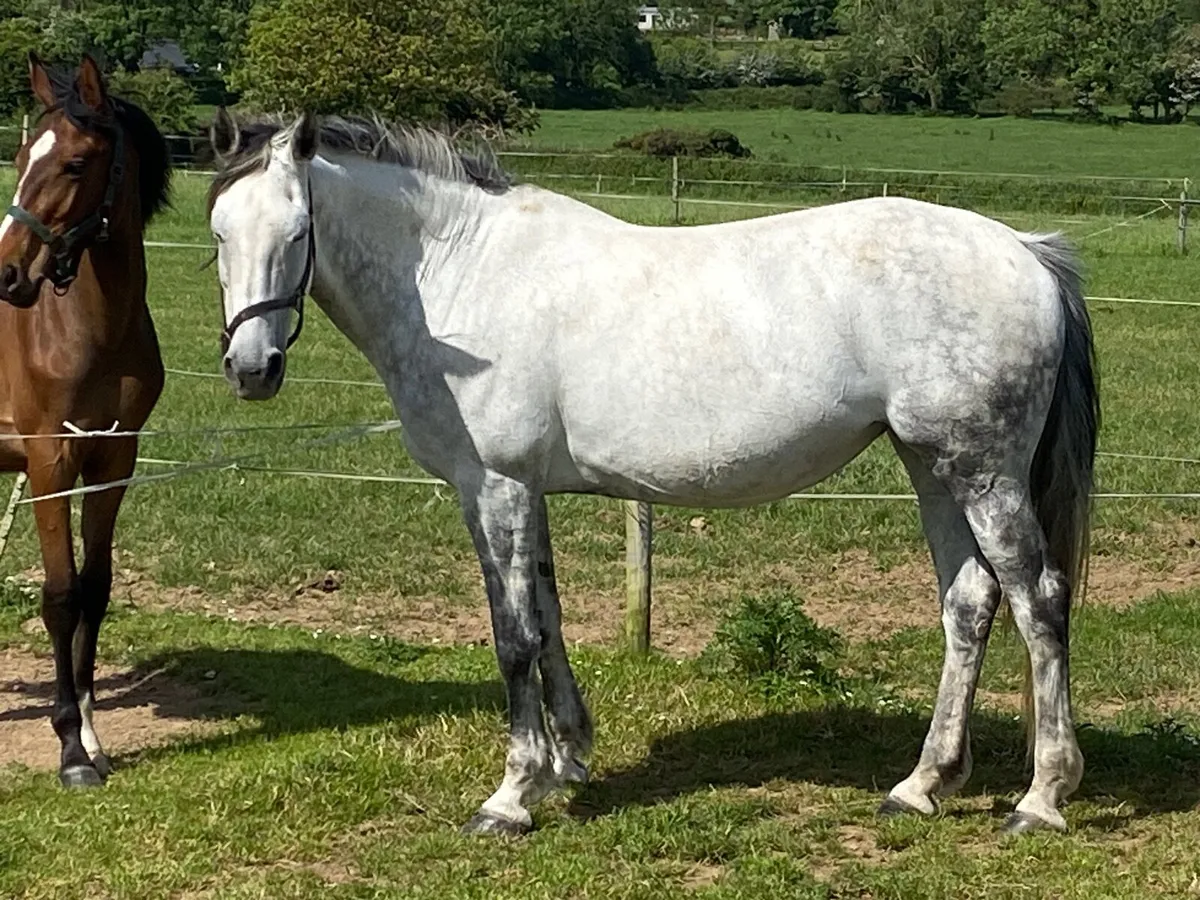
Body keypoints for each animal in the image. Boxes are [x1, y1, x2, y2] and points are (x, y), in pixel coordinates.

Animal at [206, 110, 1098, 836]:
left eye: (297, 230)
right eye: (218, 233)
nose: (252, 369)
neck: (462, 277)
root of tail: (1025, 250)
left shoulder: (493, 487)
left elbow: (513, 638)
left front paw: (510, 796)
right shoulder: (526, 492)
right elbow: (549, 622)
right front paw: (567, 763)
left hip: (982, 473)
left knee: (1038, 600)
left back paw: (1041, 798)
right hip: (932, 466)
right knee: (969, 603)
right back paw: (921, 785)